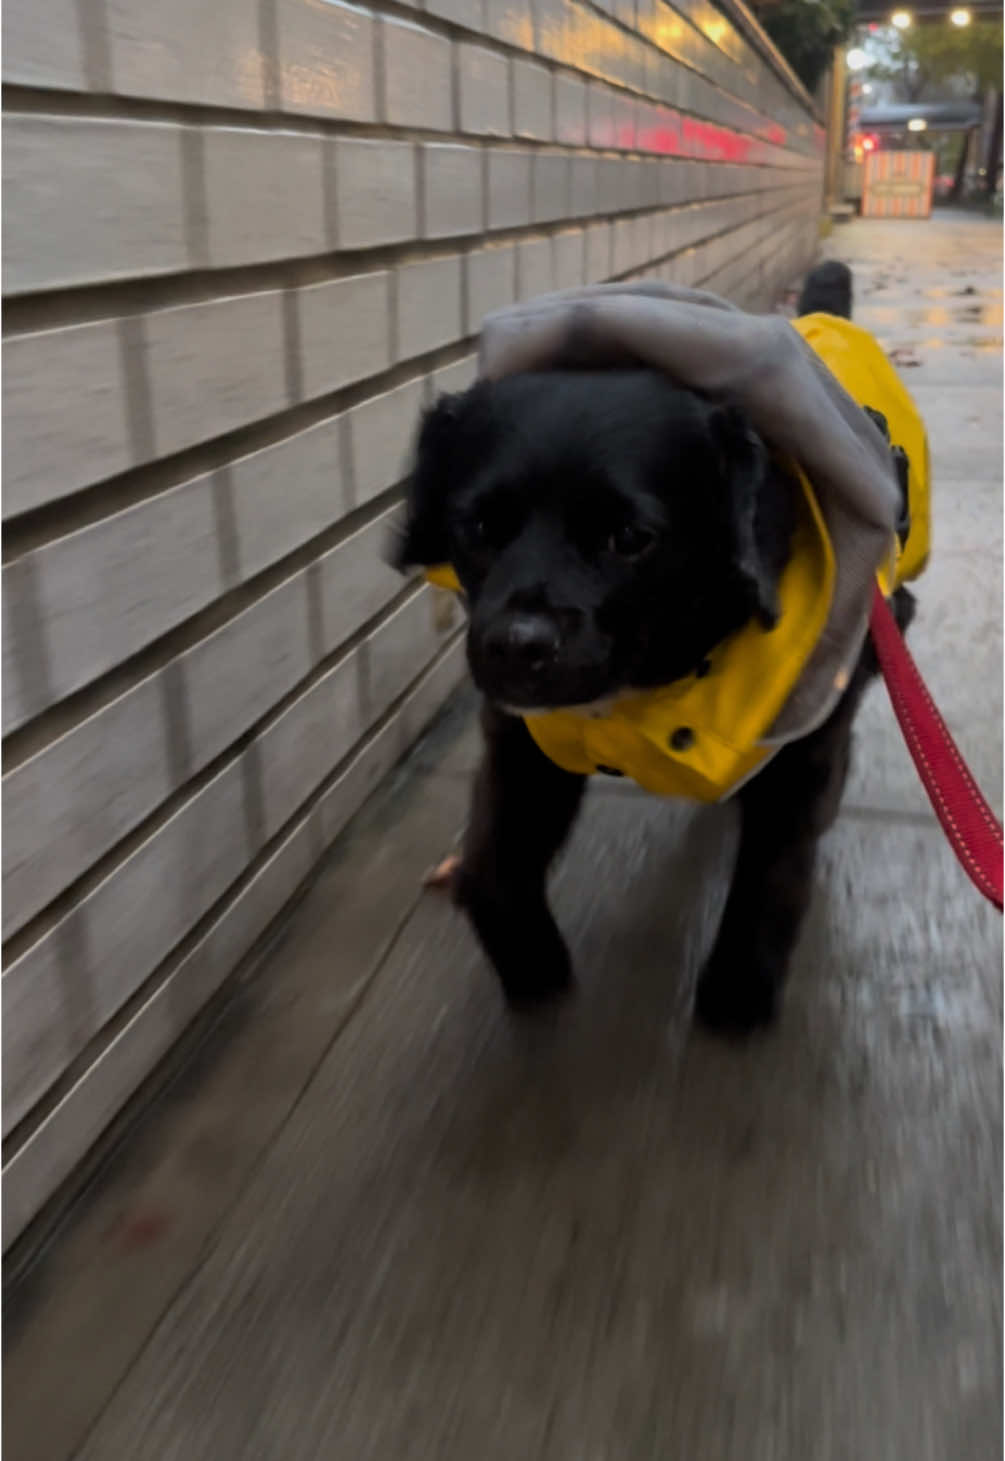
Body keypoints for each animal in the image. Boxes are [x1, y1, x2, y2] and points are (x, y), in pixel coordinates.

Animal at [397, 265, 917, 1040]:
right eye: (480, 527)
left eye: (629, 538)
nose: (515, 648)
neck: (652, 684)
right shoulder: (525, 744)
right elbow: (490, 864)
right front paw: (531, 964)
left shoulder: (801, 751)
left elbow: (771, 871)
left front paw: (740, 985)